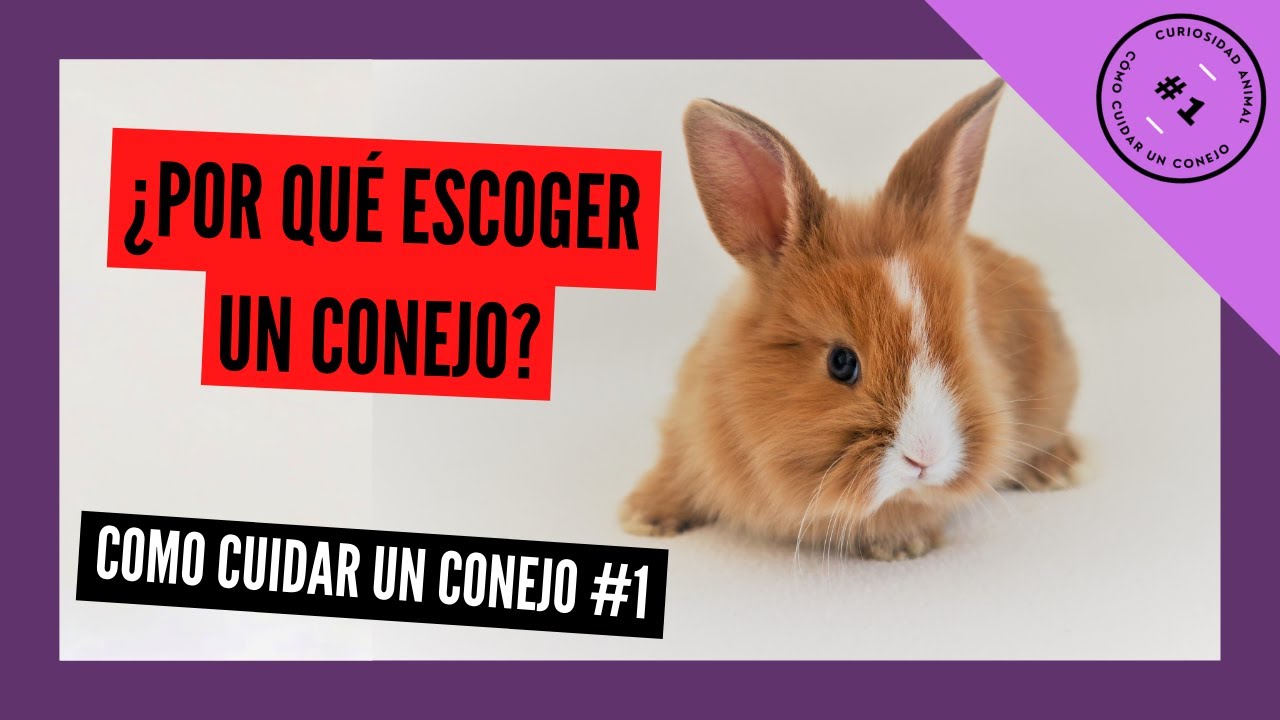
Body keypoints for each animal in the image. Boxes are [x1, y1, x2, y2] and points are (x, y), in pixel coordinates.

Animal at [620, 79, 1079, 560]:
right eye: (841, 362)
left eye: (965, 347)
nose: (925, 458)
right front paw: (642, 516)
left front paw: (902, 544)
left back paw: (1056, 470)